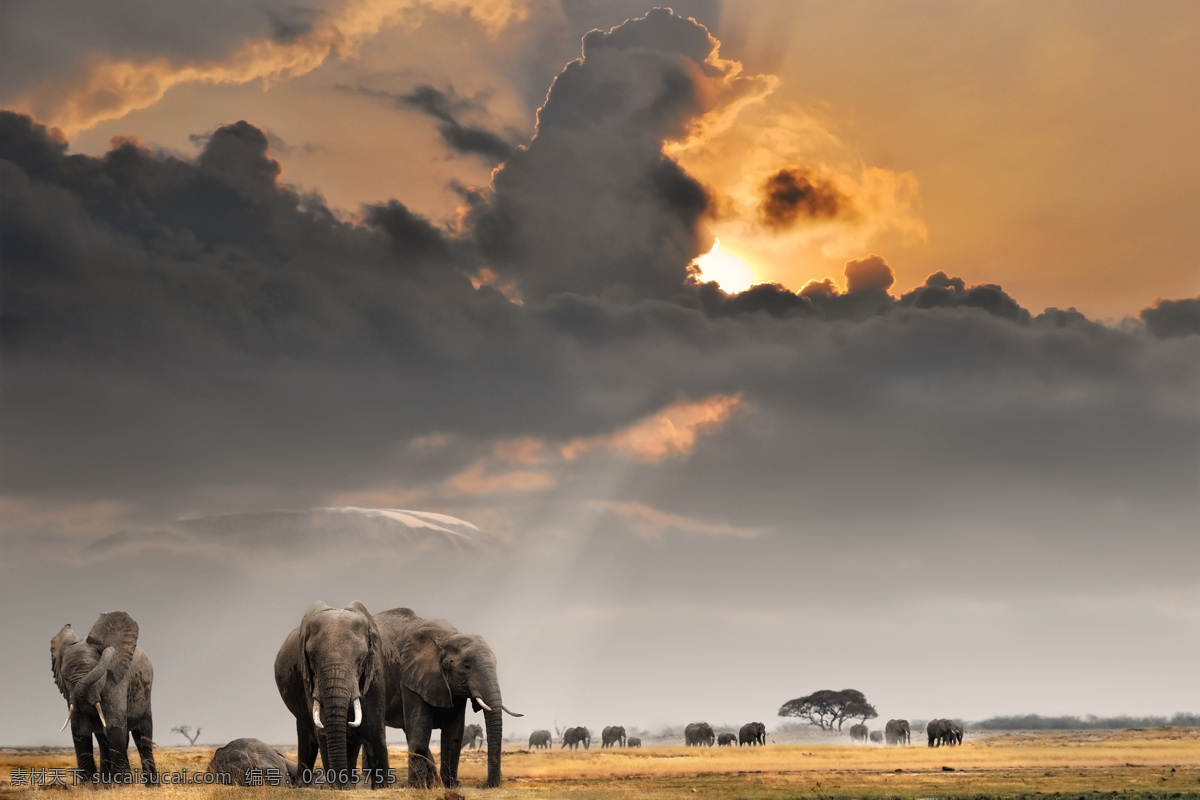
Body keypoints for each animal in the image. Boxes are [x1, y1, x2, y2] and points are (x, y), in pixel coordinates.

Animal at [50, 609, 157, 786]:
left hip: (146, 696)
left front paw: (123, 786)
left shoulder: (116, 681)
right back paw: (106, 785)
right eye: (66, 678)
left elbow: (114, 726)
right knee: (104, 740)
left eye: (98, 675)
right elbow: (79, 729)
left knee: (142, 736)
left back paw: (151, 786)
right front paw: (88, 787)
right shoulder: (69, 694)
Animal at [274, 599, 386, 786]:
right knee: (306, 739)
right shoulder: (308, 680)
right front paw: (339, 787)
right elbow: (324, 731)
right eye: (312, 659)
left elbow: (374, 730)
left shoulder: (374, 676)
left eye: (360, 660)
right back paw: (303, 785)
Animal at [374, 609, 520, 791]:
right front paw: (417, 787)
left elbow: (454, 733)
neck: (447, 636)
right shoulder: (409, 676)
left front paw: (450, 786)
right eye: (467, 666)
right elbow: (420, 727)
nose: (488, 785)